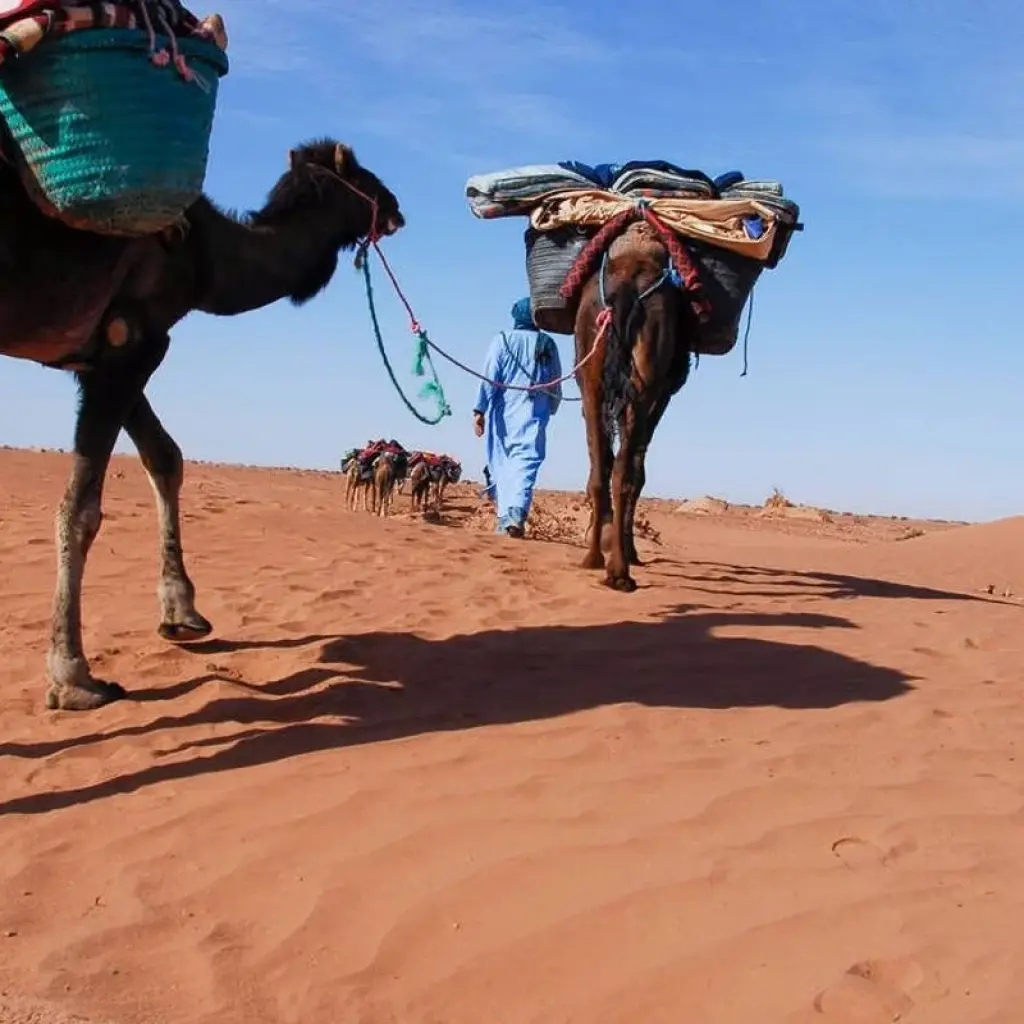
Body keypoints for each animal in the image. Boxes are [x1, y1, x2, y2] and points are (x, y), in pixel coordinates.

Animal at [0, 137, 405, 710]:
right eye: (366, 179)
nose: (397, 209)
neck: (205, 255)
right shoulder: (131, 342)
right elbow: (81, 509)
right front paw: (73, 675)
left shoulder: (112, 352)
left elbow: (165, 457)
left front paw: (182, 613)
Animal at [574, 226, 694, 592]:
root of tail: (627, 282)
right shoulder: (663, 392)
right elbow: (639, 469)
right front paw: (630, 549)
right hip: (644, 378)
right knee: (624, 471)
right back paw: (617, 569)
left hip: (592, 368)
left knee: (603, 469)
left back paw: (598, 561)